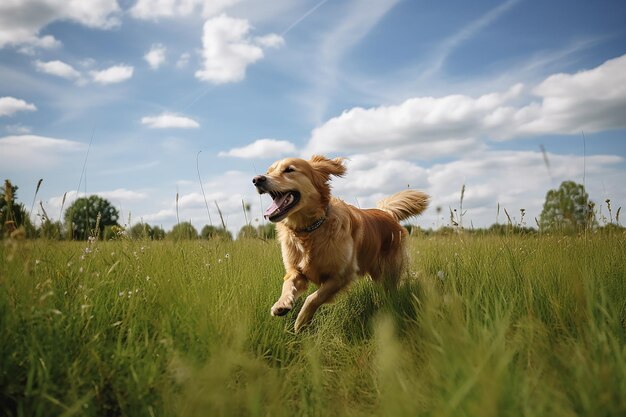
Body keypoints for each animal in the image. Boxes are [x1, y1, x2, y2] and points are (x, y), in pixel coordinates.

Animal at [251, 155, 426, 332]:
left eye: (289, 170)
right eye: (269, 171)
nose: (257, 179)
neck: (310, 229)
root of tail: (387, 213)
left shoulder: (342, 275)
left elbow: (314, 297)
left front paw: (301, 321)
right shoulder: (296, 271)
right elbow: (288, 284)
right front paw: (281, 304)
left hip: (389, 271)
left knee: (391, 289)